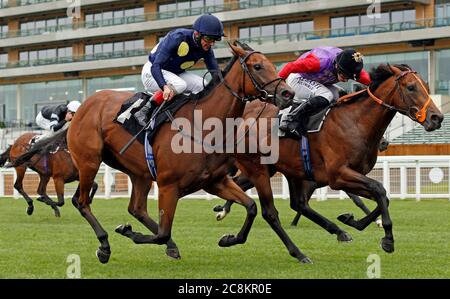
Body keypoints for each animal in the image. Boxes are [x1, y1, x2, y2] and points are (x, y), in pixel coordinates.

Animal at [65, 41, 310, 264]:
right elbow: (162, 232)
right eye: (258, 66)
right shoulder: (168, 186)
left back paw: (169, 246)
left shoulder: (215, 181)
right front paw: (127, 231)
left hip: (139, 173)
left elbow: (251, 207)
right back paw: (104, 245)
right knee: (81, 201)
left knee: (136, 208)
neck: (203, 126)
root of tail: (85, 104)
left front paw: (228, 239)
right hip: (89, 161)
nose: (288, 93)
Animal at [215, 63, 442, 255]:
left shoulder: (349, 175)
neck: (356, 122)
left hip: (285, 169)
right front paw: (387, 238)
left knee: (296, 203)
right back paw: (225, 217)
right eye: (411, 87)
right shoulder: (338, 175)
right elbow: (378, 189)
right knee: (250, 191)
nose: (437, 118)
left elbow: (381, 196)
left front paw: (352, 221)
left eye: (425, 86)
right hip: (259, 167)